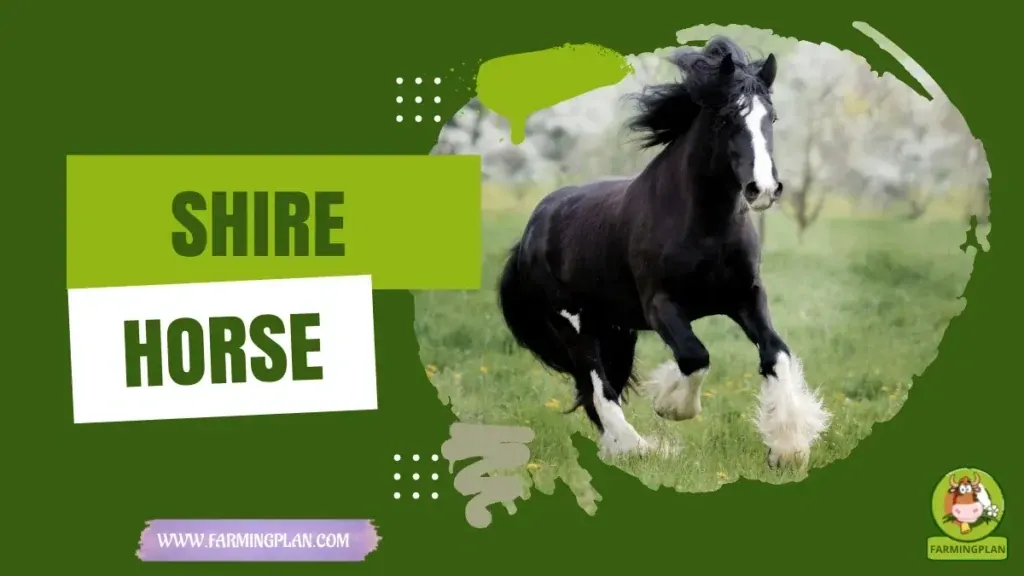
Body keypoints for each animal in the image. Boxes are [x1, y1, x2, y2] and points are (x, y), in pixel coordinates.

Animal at [496, 36, 831, 468]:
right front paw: (671, 405)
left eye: (771, 118)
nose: (764, 189)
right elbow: (694, 356)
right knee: (598, 383)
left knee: (597, 387)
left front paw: (788, 447)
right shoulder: (661, 305)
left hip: (616, 329)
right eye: (726, 119)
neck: (704, 228)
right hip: (574, 322)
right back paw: (636, 447)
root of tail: (532, 228)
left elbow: (776, 353)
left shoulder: (747, 297)